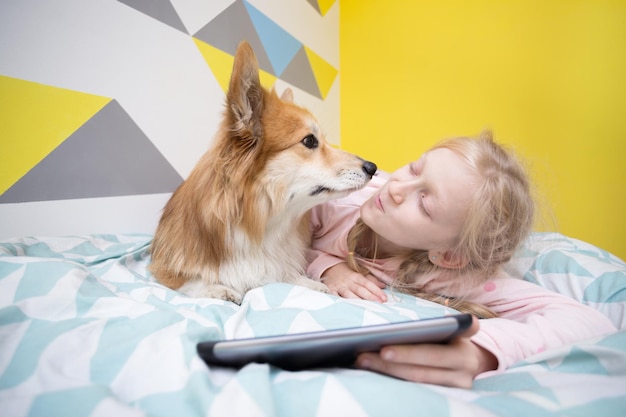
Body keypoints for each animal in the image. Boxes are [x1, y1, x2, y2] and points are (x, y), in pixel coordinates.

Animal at [150, 41, 376, 302]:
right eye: (310, 141)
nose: (373, 167)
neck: (261, 223)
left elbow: (284, 274)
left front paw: (309, 283)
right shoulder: (163, 267)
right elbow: (189, 280)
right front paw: (217, 289)